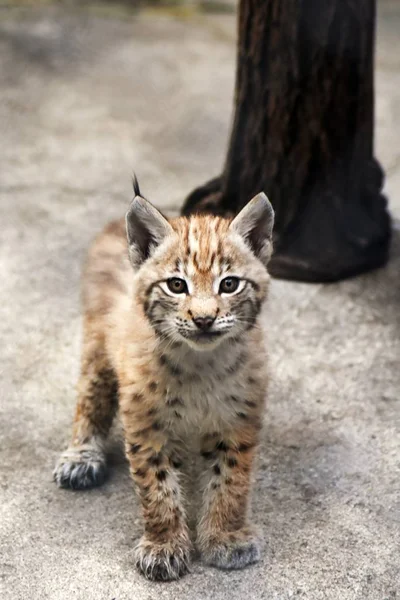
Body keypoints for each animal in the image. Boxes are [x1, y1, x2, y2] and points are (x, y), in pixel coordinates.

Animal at [54, 178, 276, 580]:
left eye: (229, 285)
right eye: (176, 285)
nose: (204, 320)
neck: (200, 364)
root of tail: (115, 224)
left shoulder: (237, 418)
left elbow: (231, 480)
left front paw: (226, 536)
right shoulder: (146, 423)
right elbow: (156, 487)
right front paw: (164, 546)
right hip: (97, 345)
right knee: (90, 395)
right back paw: (81, 454)